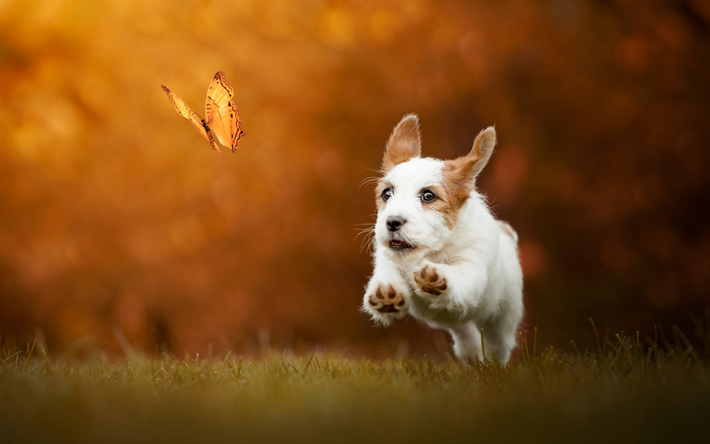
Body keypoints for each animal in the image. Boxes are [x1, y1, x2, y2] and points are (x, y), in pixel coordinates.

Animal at [364, 114, 524, 364]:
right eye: (386, 193)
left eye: (428, 196)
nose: (392, 222)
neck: (433, 250)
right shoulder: (388, 259)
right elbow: (387, 273)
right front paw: (385, 294)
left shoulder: (472, 267)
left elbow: (457, 274)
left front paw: (434, 276)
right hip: (460, 325)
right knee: (466, 337)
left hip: (503, 317)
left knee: (498, 344)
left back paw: (492, 365)